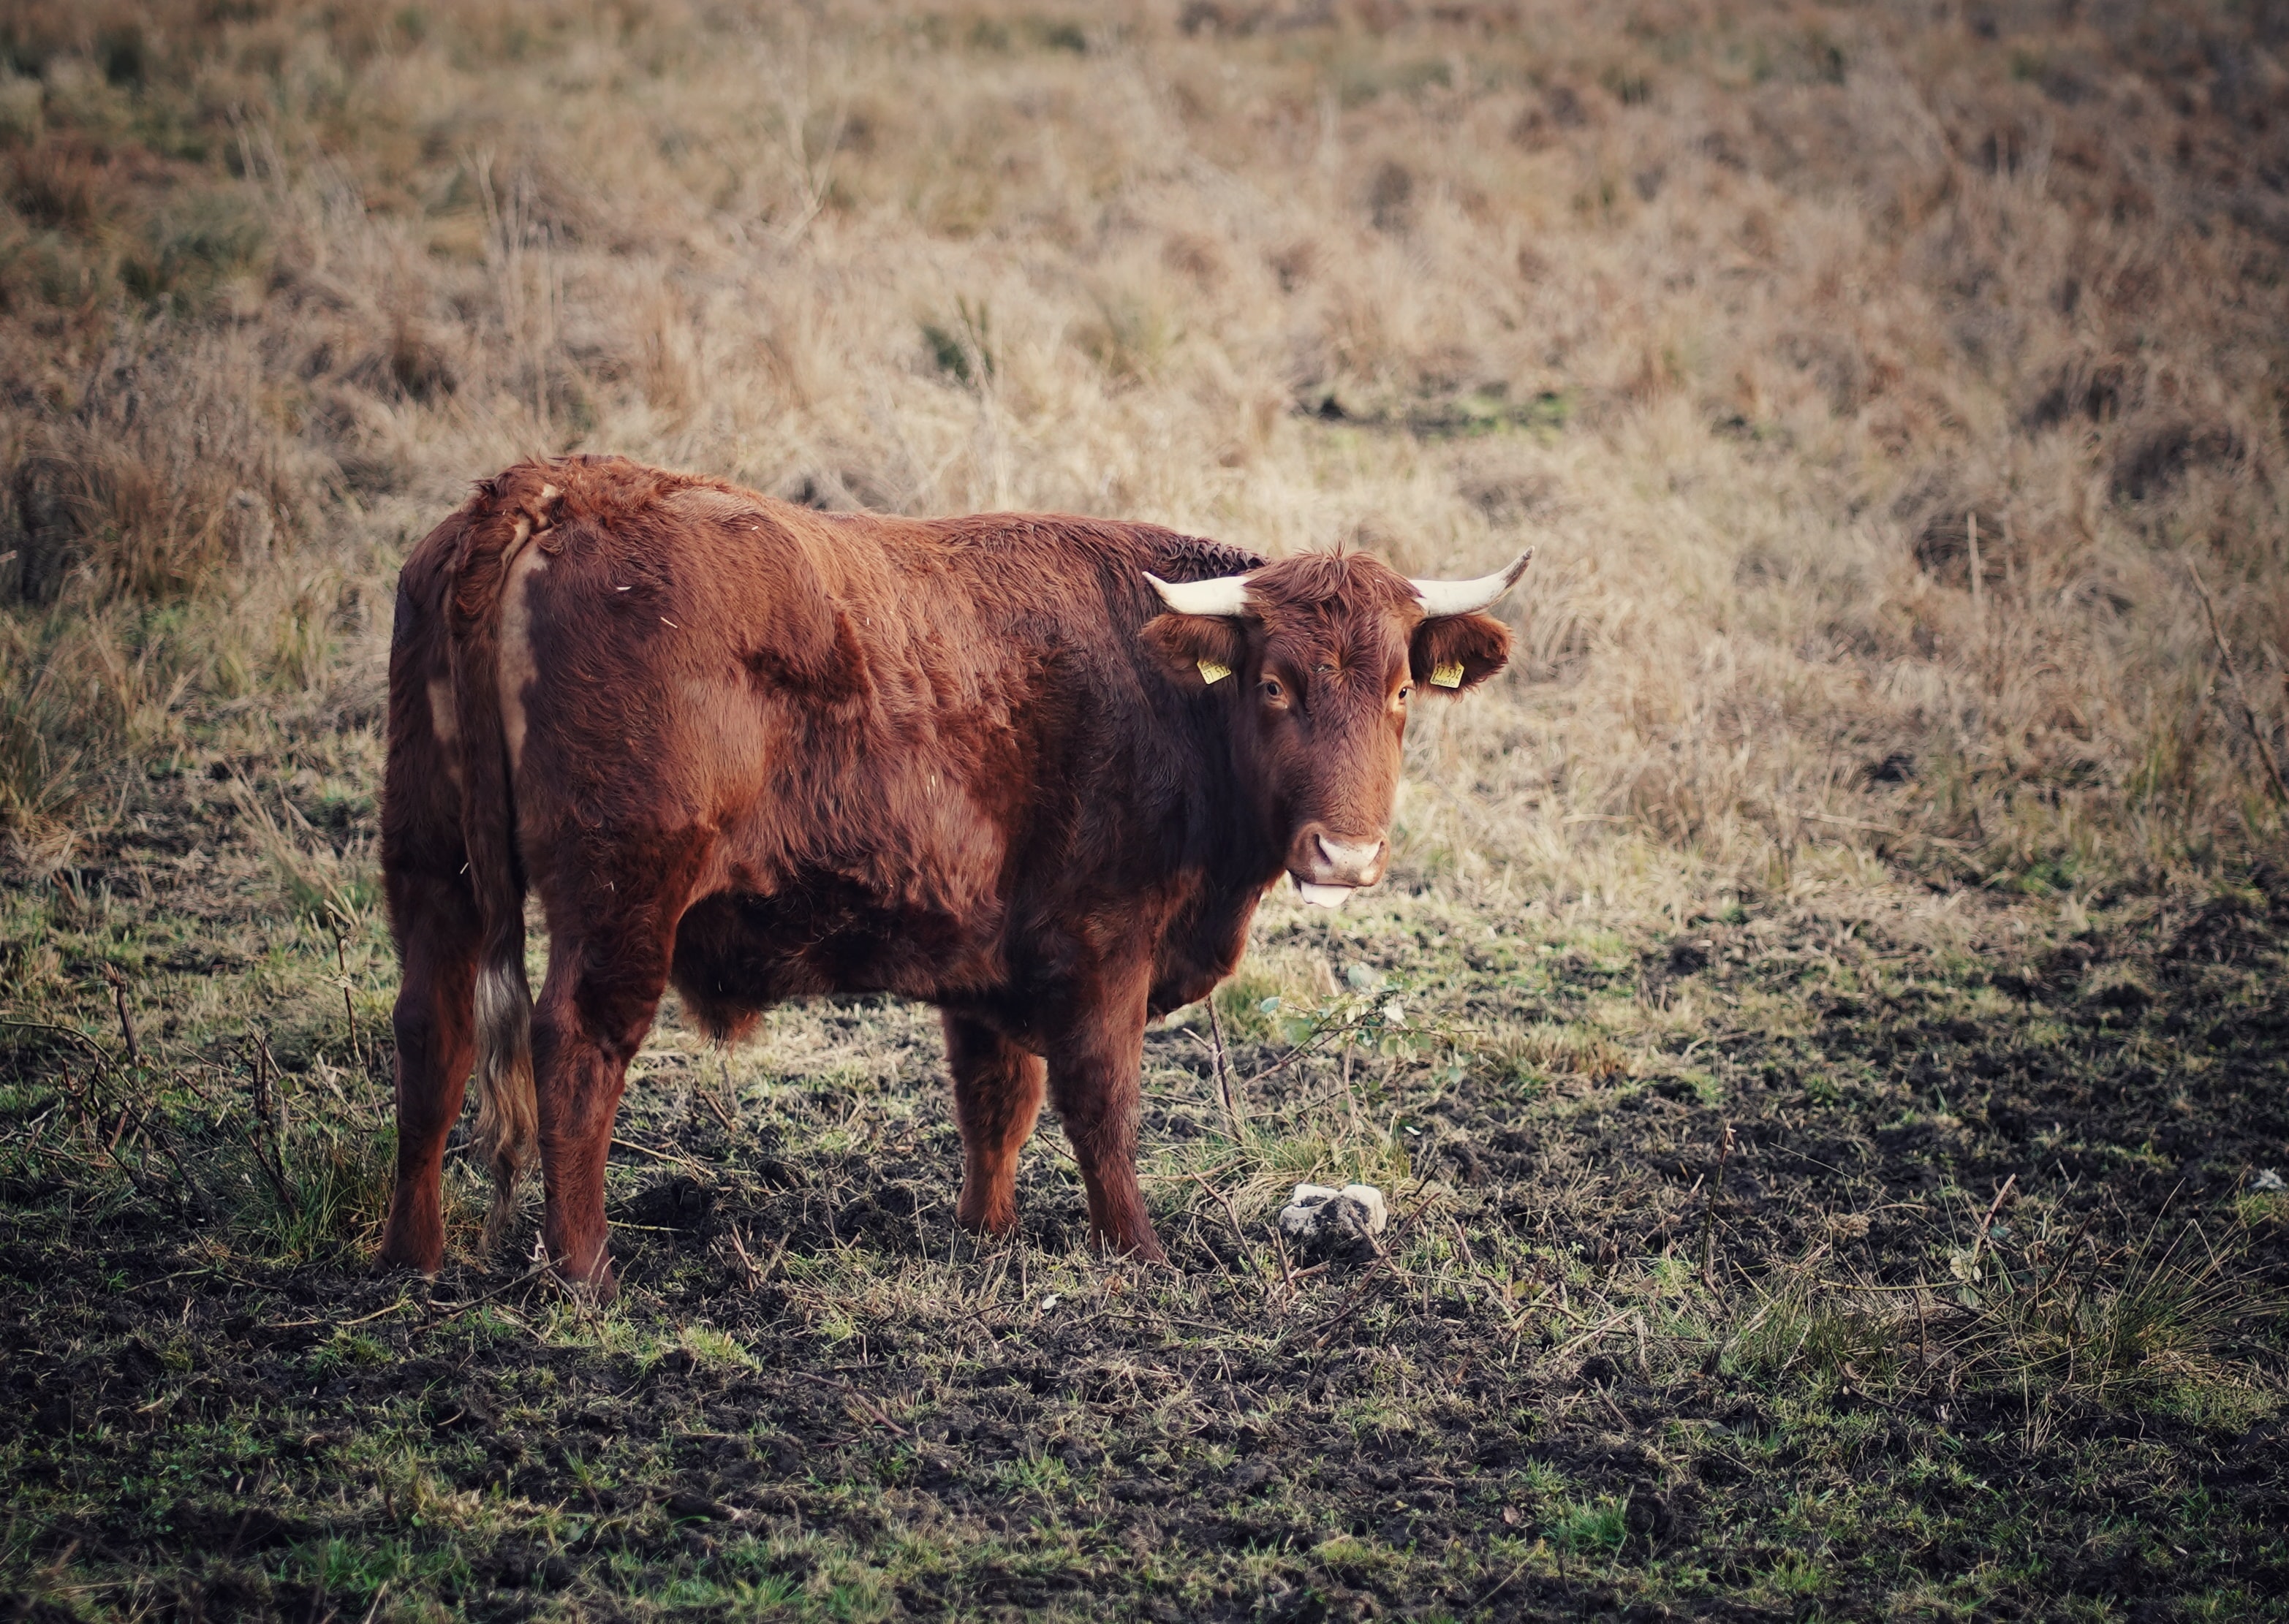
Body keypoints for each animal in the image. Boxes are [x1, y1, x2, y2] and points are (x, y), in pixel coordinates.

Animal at [375, 450, 1529, 1290]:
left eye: (1398, 691)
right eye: (1277, 684)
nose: (1347, 851)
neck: (1165, 692)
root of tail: (552, 491)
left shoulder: (989, 963)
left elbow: (996, 1099)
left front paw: (988, 1233)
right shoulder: (1102, 948)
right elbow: (1099, 1102)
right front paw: (1139, 1250)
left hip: (430, 867)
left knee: (432, 1034)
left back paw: (409, 1254)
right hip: (621, 898)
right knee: (575, 1047)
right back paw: (584, 1269)